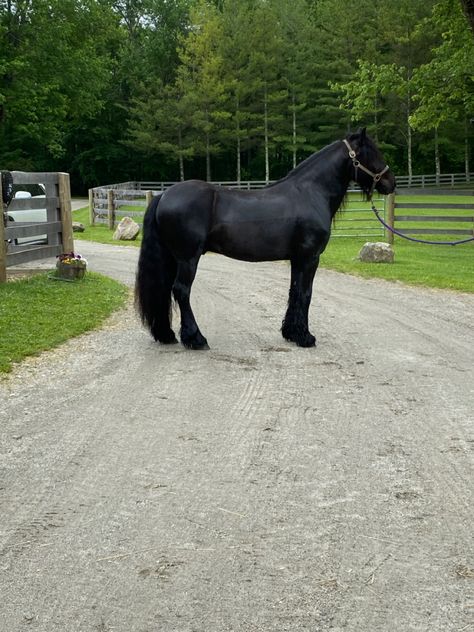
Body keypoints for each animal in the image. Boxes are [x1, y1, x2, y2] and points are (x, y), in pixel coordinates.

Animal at [135, 126, 394, 348]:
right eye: (372, 152)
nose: (390, 183)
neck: (311, 192)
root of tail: (164, 195)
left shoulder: (297, 259)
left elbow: (294, 292)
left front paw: (291, 333)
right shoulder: (310, 258)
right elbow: (306, 294)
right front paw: (305, 337)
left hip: (172, 258)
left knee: (165, 290)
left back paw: (167, 335)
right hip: (188, 258)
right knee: (181, 291)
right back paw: (196, 339)